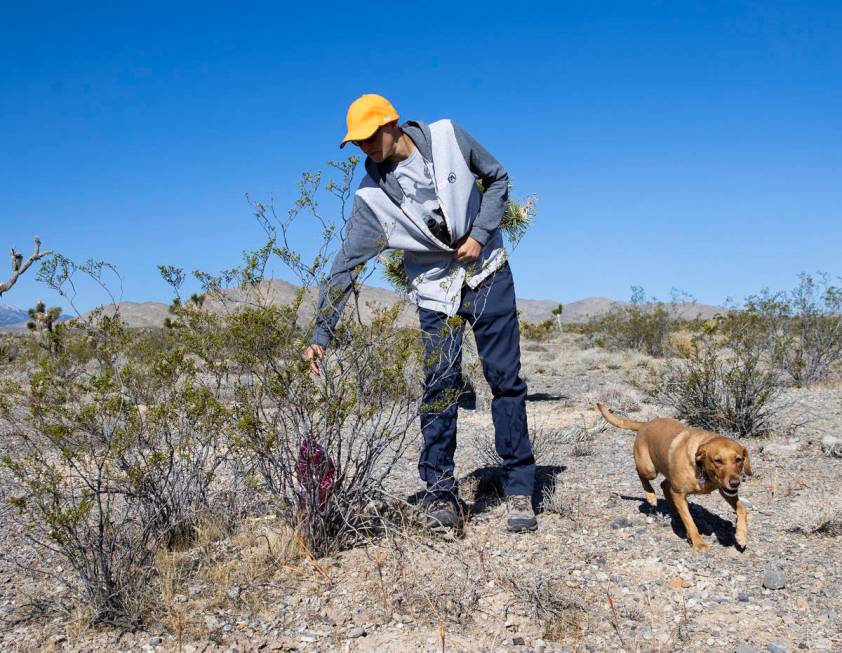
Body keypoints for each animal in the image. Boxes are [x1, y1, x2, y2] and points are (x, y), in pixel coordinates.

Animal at [592, 402, 752, 552]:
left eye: (739, 459)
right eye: (718, 461)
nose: (735, 483)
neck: (702, 469)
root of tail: (645, 424)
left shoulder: (725, 490)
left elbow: (742, 510)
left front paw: (741, 536)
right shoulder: (679, 493)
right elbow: (689, 521)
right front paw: (698, 543)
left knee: (664, 485)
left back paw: (672, 507)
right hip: (649, 469)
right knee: (640, 473)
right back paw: (651, 495)